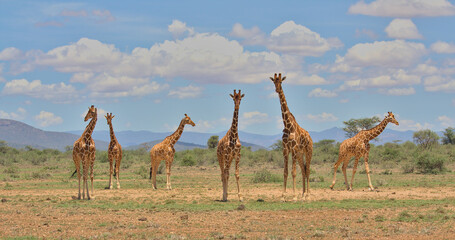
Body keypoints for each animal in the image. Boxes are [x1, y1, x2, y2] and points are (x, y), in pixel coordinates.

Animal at [270, 72, 314, 201]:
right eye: (274, 81)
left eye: (281, 81)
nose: (277, 89)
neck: (287, 125)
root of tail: (310, 138)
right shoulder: (285, 149)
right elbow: (285, 172)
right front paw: (283, 196)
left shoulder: (293, 148)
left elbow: (293, 172)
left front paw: (293, 196)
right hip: (299, 154)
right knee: (304, 170)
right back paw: (302, 194)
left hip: (308, 151)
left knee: (308, 170)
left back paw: (307, 195)